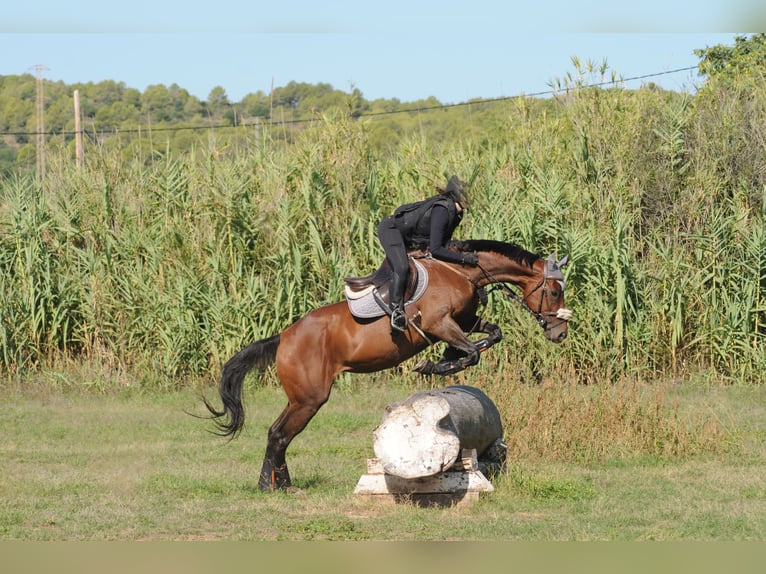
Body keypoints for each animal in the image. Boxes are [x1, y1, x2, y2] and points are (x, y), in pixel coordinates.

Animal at [204, 238, 568, 490]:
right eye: (553, 291)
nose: (560, 333)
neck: (461, 272)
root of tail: (283, 337)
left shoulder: (463, 322)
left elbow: (492, 334)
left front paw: (447, 359)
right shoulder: (439, 324)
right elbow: (473, 351)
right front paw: (437, 366)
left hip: (301, 399)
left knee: (276, 433)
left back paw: (275, 484)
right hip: (308, 398)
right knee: (279, 434)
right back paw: (275, 486)